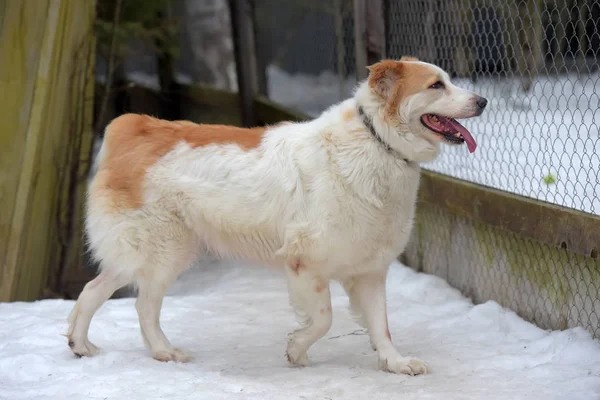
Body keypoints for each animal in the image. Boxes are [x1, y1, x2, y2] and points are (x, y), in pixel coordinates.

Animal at [68, 56, 486, 376]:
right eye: (436, 85)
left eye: (448, 81)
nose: (483, 101)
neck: (377, 143)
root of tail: (136, 125)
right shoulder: (306, 265)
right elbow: (323, 319)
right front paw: (297, 350)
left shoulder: (369, 270)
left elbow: (381, 327)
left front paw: (396, 364)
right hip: (163, 251)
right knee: (143, 305)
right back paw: (162, 352)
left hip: (152, 252)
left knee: (93, 290)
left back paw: (80, 344)